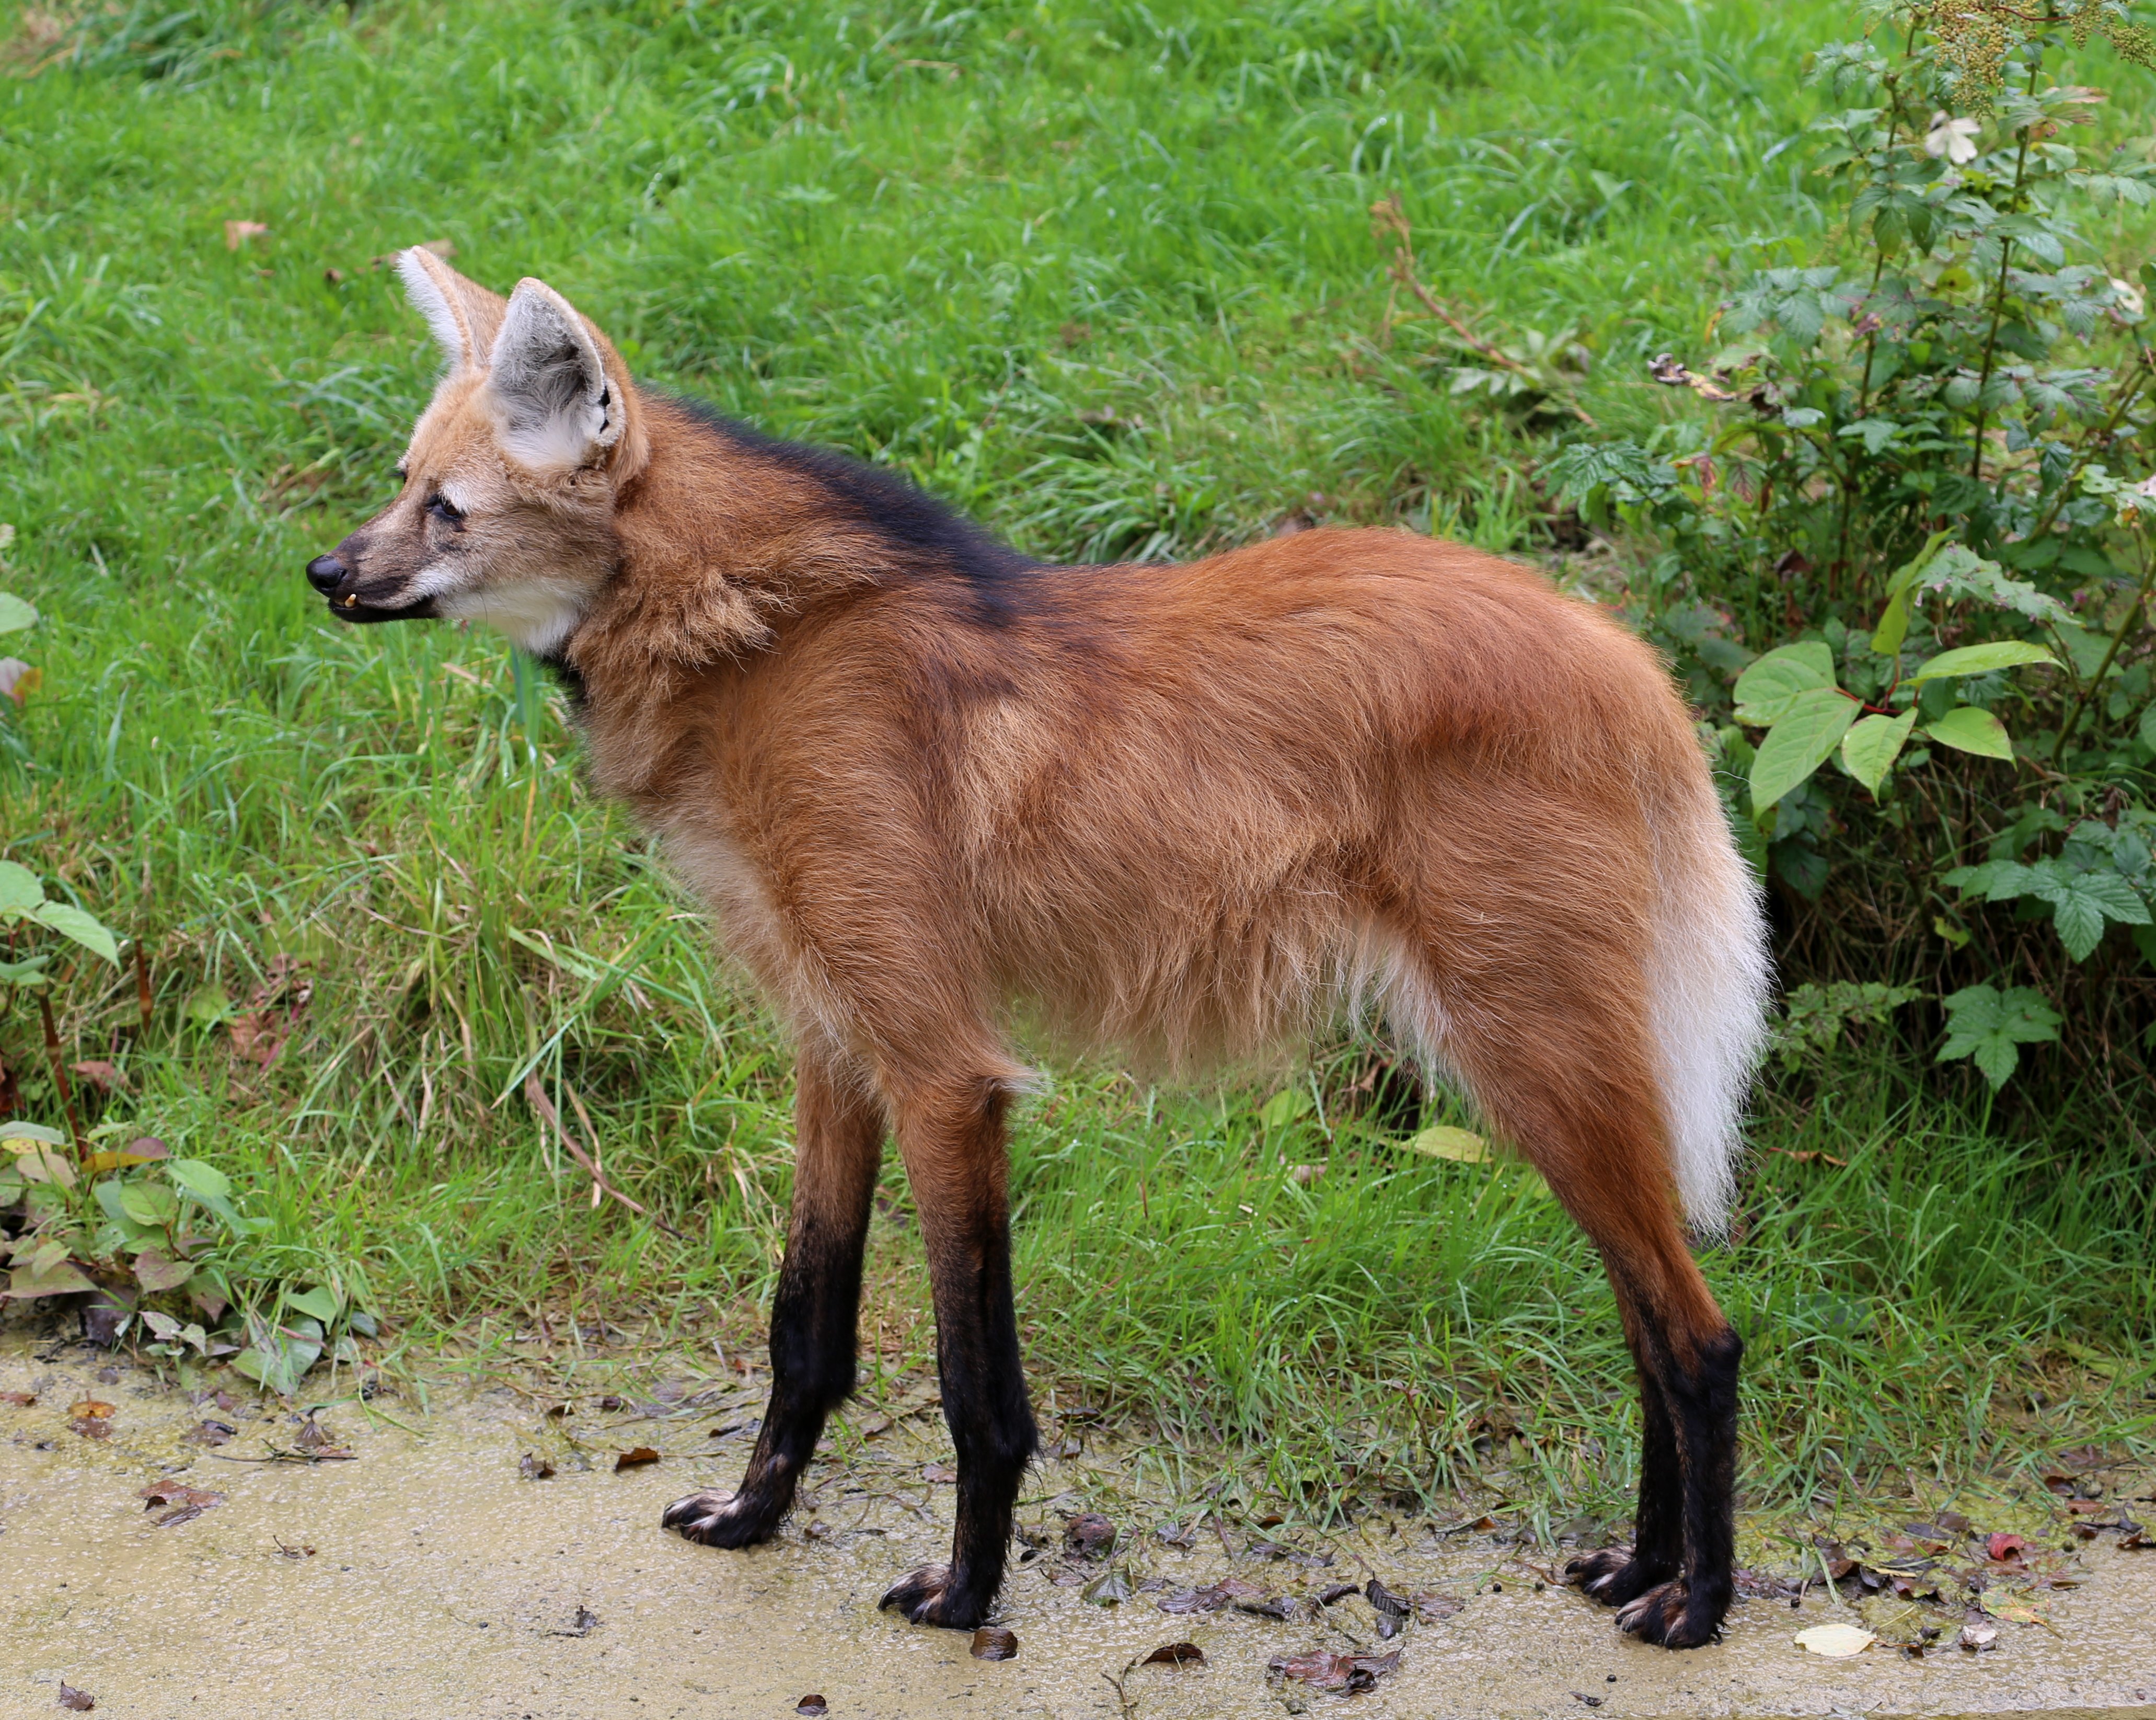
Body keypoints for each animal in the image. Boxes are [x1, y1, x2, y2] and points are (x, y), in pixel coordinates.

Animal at [305, 248, 1771, 1647]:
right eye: (402, 483)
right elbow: (803, 1325)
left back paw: (1691, 1603)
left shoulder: (942, 1070)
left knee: (1696, 1336)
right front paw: (751, 1517)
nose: (325, 573)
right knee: (1642, 1320)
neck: (758, 637)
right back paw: (1636, 1565)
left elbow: (972, 1378)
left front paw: (962, 1595)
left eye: (449, 508)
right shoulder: (834, 1044)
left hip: (1528, 1047)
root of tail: (1624, 656)